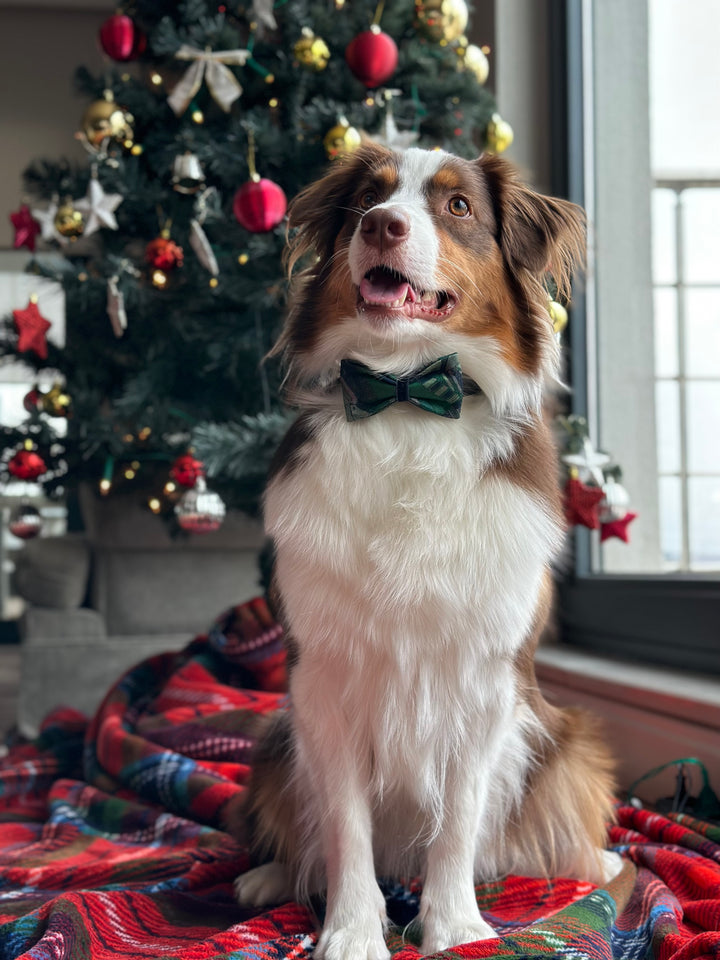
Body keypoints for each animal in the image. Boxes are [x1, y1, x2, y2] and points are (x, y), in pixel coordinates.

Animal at [232, 144, 620, 960]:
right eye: (366, 200)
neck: (407, 399)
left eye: (458, 206)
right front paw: (352, 929)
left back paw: (594, 860)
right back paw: (269, 876)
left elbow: (461, 821)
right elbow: (345, 825)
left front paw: (455, 927)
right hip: (276, 738)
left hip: (565, 737)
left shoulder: (483, 676)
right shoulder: (325, 678)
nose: (381, 224)